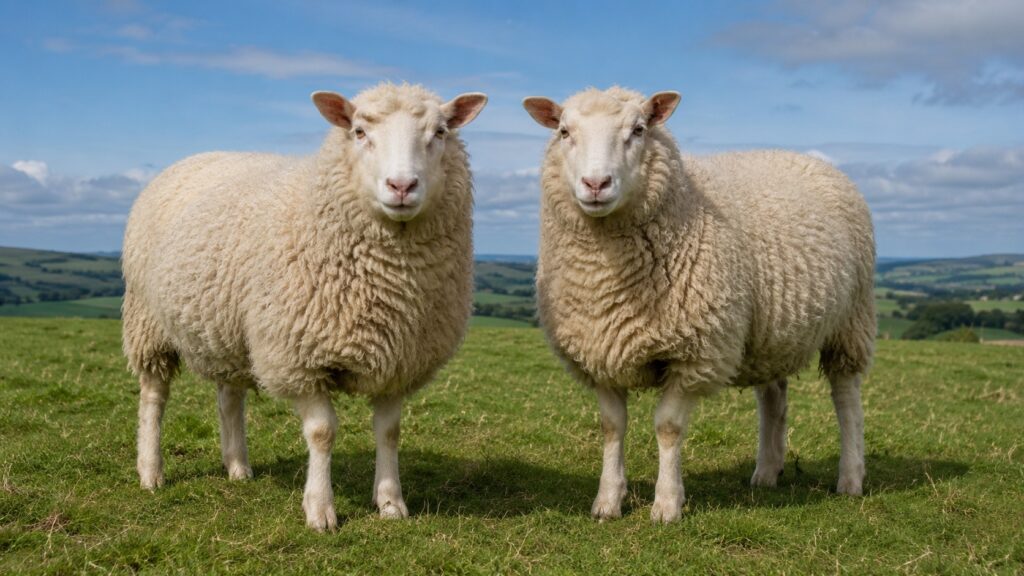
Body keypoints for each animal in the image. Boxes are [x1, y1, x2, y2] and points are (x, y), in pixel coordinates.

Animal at [122, 83, 487, 531]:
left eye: (439, 132)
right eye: (359, 131)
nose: (402, 185)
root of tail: (195, 156)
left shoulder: (397, 361)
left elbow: (389, 432)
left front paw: (390, 503)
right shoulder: (299, 358)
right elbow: (322, 433)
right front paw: (320, 509)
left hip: (231, 330)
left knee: (229, 398)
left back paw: (237, 466)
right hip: (148, 322)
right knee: (153, 396)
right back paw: (151, 471)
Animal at [522, 87, 875, 523]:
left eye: (638, 130)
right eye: (564, 131)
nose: (596, 183)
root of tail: (804, 156)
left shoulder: (693, 352)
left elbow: (668, 427)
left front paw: (667, 504)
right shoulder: (599, 348)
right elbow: (611, 426)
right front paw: (607, 501)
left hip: (852, 319)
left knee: (847, 399)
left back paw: (850, 478)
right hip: (768, 334)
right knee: (773, 397)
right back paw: (766, 471)